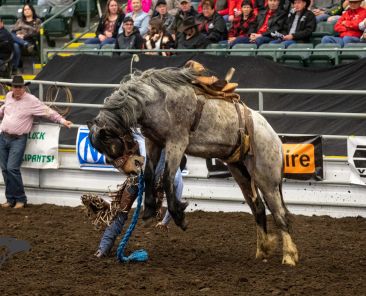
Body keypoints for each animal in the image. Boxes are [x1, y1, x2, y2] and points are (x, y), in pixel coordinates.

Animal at [87, 61, 298, 266]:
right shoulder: (153, 141)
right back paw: (262, 251)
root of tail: (274, 138)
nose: (131, 169)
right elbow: (148, 174)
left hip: (266, 177)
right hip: (241, 173)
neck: (154, 99)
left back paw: (289, 256)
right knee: (259, 209)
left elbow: (167, 178)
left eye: (112, 148)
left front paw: (180, 217)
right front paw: (148, 210)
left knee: (280, 214)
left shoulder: (177, 142)